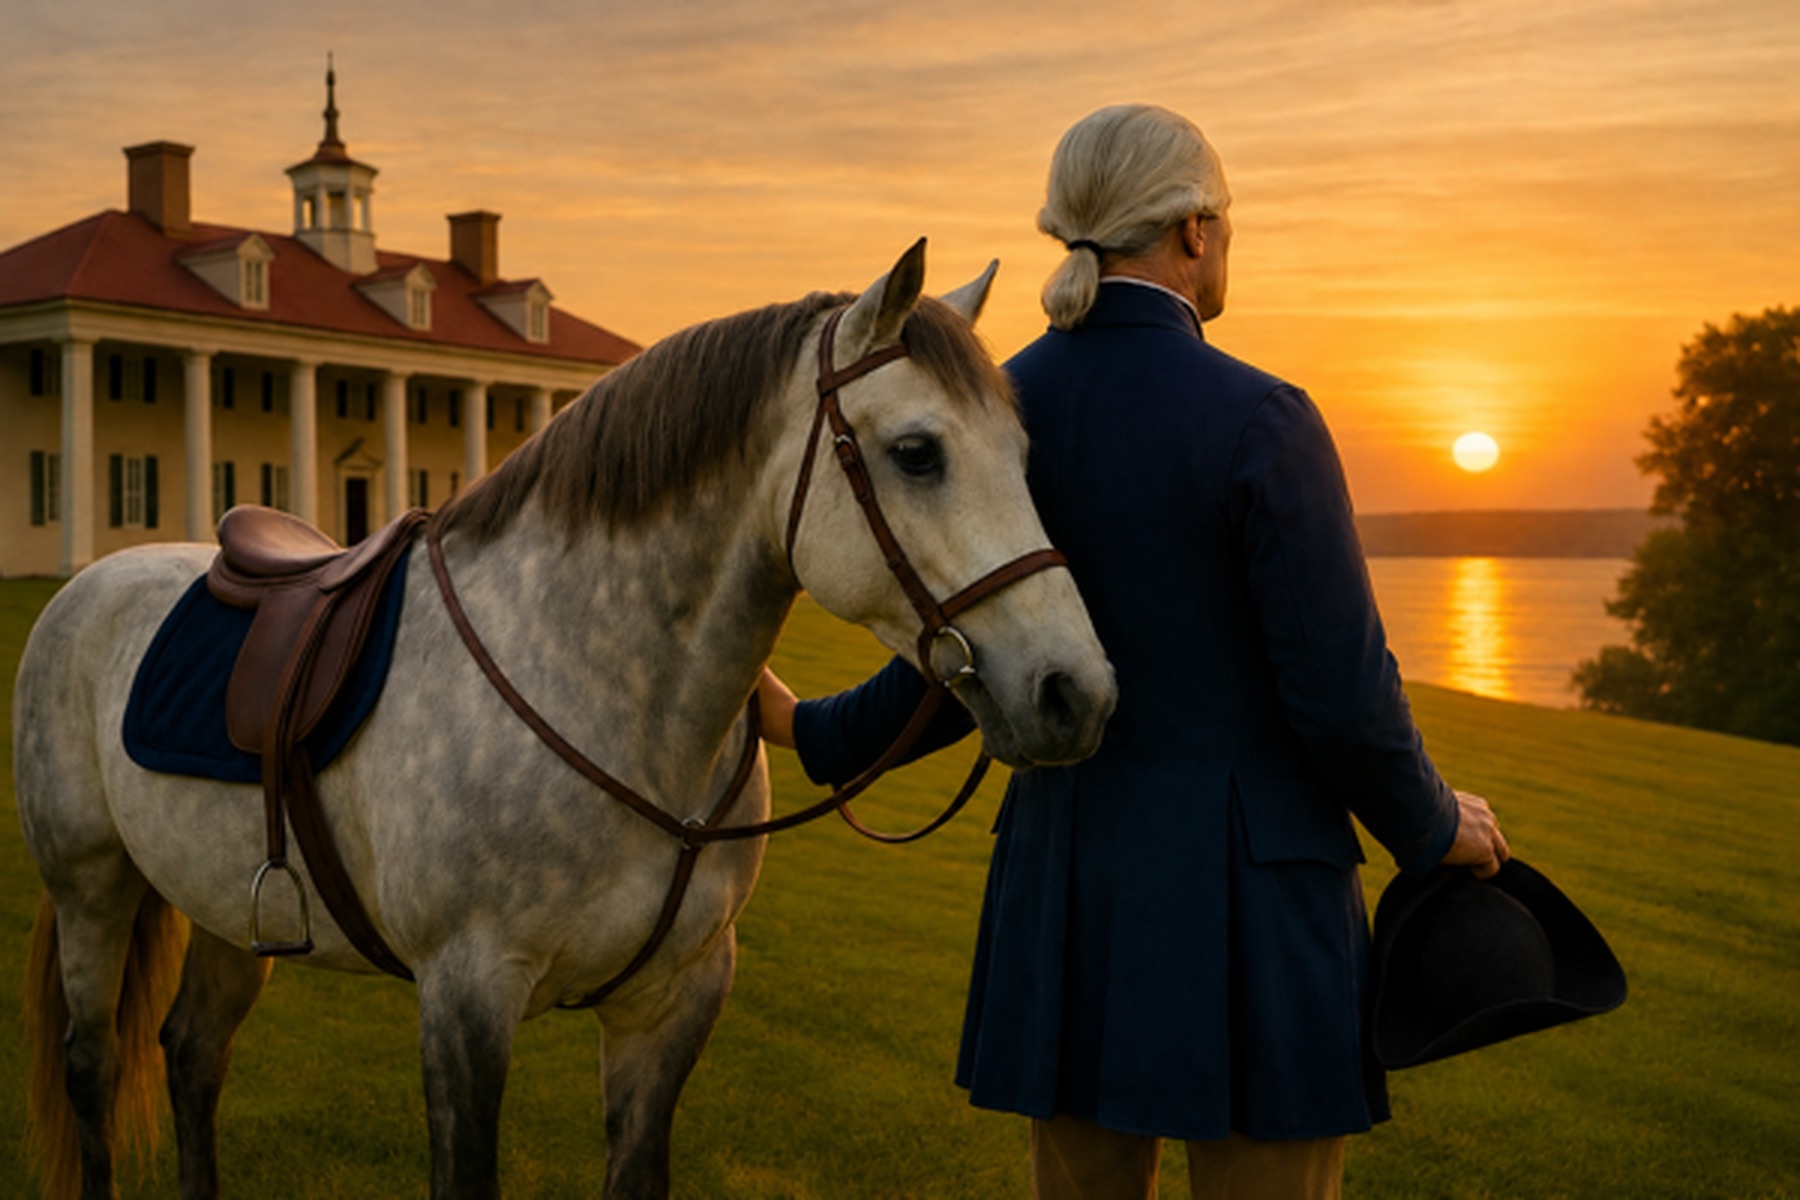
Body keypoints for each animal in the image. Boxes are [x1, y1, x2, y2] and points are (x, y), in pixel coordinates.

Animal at [16, 240, 1117, 1200]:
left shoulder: (670, 1003)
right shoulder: (465, 998)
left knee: (193, 1056)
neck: (606, 692)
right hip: (91, 886)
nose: (1077, 691)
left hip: (228, 911)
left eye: (1023, 453)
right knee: (93, 1068)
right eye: (918, 453)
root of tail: (95, 582)